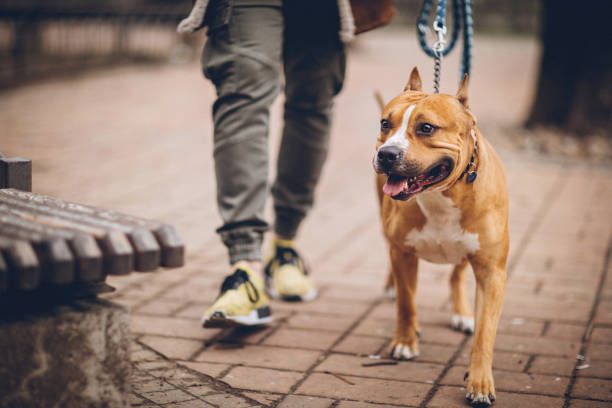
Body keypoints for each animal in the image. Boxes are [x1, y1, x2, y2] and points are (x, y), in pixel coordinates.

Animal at [372, 68, 512, 406]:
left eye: (426, 128)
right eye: (385, 124)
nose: (386, 154)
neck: (440, 196)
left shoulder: (492, 272)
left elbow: (485, 333)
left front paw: (480, 383)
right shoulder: (403, 253)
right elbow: (407, 303)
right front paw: (405, 342)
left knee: (456, 274)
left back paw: (461, 313)